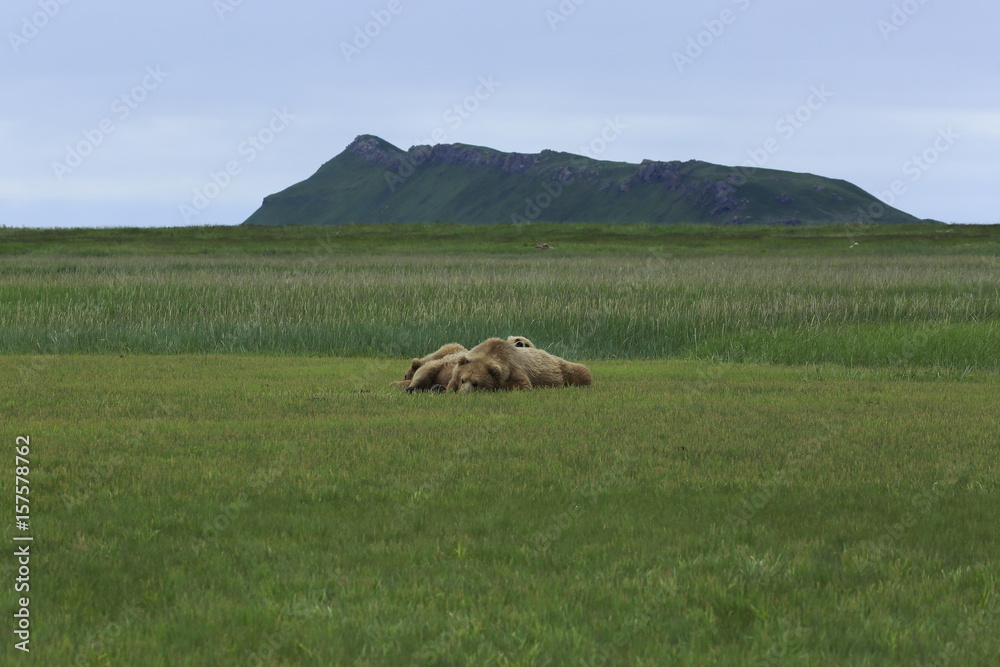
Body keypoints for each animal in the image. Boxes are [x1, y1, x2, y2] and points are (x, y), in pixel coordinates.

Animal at [446, 337, 592, 392]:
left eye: (476, 383)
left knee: (581, 371)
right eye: (463, 379)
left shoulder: (512, 368)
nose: (464, 392)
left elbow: (522, 384)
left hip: (563, 368)